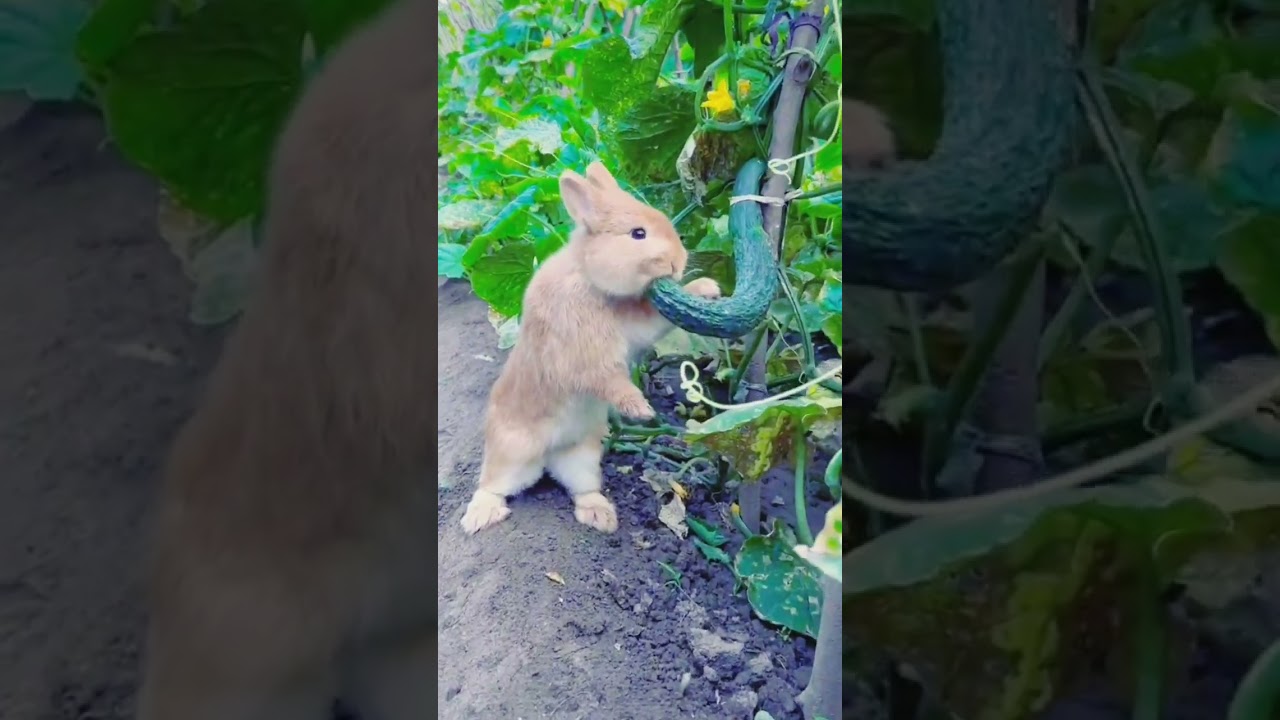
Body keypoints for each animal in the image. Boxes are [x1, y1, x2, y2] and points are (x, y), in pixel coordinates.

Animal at [459, 162, 721, 535]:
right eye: (637, 234)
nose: (677, 263)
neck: (589, 277)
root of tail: (548, 454)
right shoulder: (585, 354)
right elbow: (608, 380)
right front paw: (641, 410)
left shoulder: (636, 324)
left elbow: (655, 320)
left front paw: (706, 288)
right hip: (511, 454)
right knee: (492, 485)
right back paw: (480, 517)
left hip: (582, 458)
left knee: (582, 488)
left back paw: (601, 517)